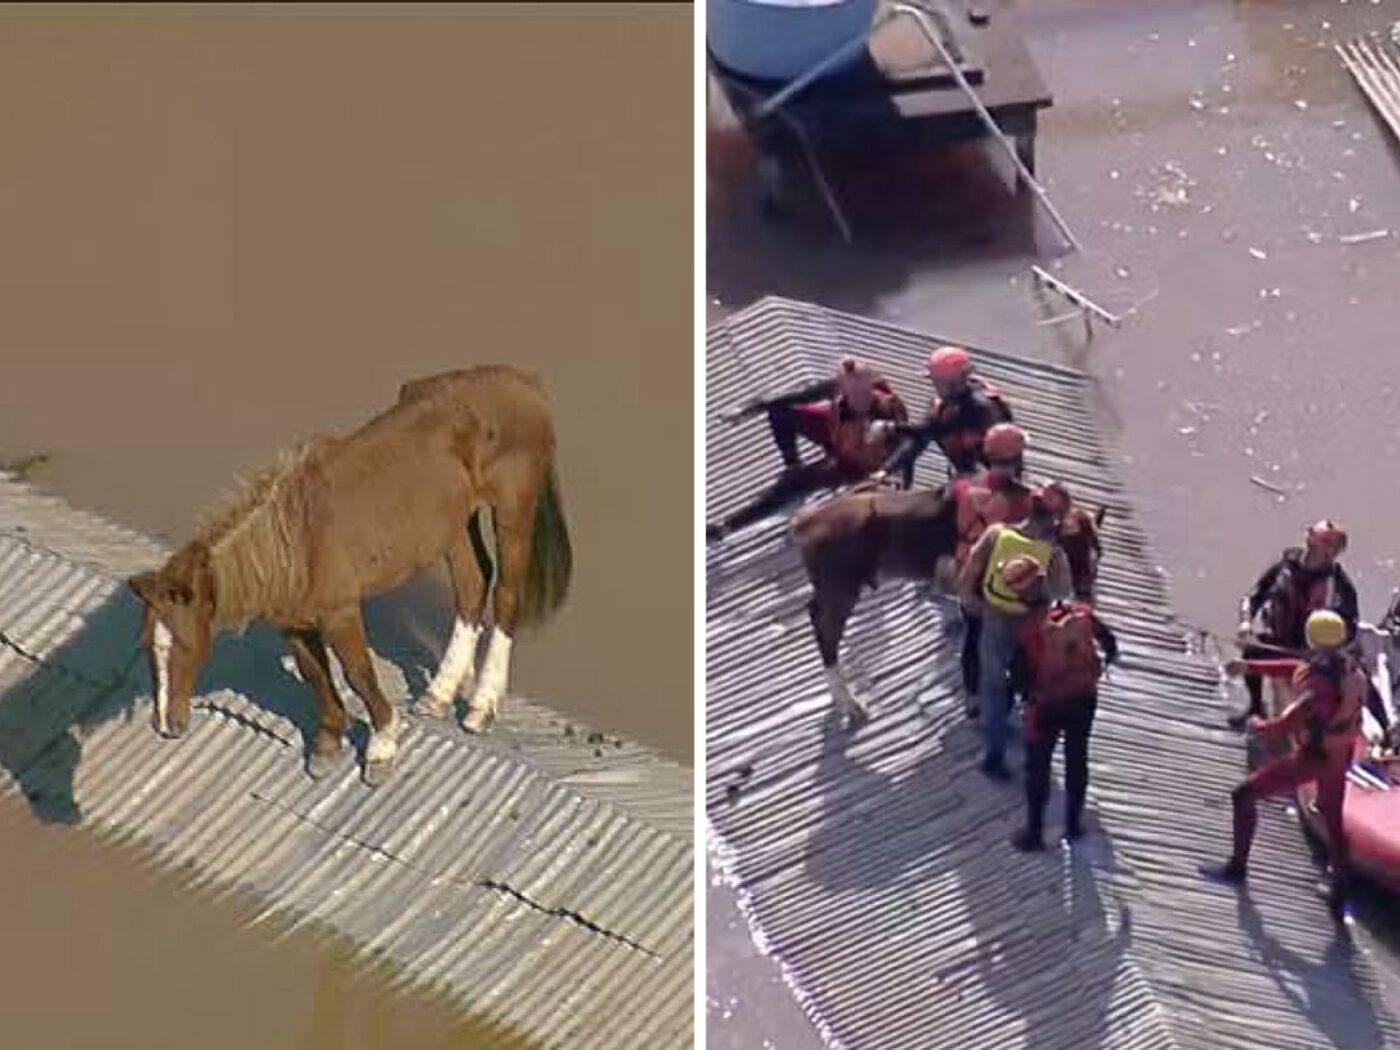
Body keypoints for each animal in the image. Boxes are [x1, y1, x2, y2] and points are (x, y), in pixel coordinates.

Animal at [127, 366, 574, 784]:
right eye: (148, 646)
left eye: (185, 644)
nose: (165, 725)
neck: (296, 542)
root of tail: (525, 382)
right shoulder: (293, 623)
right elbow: (314, 674)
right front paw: (327, 746)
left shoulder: (340, 613)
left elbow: (357, 673)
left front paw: (381, 747)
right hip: (455, 524)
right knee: (472, 586)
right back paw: (439, 694)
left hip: (513, 510)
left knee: (506, 596)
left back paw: (481, 708)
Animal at [795, 484, 1097, 722]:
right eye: (1073, 545)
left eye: (1097, 548)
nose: (1085, 593)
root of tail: (808, 520)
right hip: (841, 589)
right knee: (824, 629)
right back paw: (849, 702)